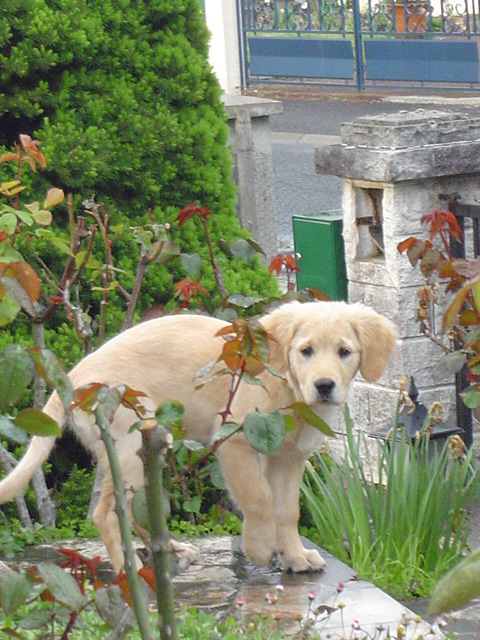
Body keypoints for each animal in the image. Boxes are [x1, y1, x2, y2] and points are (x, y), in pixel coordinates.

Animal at [0, 300, 398, 576]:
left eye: (344, 352)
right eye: (306, 351)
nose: (325, 386)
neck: (288, 388)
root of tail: (72, 377)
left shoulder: (288, 458)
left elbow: (287, 510)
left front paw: (295, 556)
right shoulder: (236, 441)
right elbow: (259, 498)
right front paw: (259, 547)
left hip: (143, 451)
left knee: (138, 511)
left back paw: (171, 551)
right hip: (131, 446)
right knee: (105, 514)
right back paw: (132, 575)